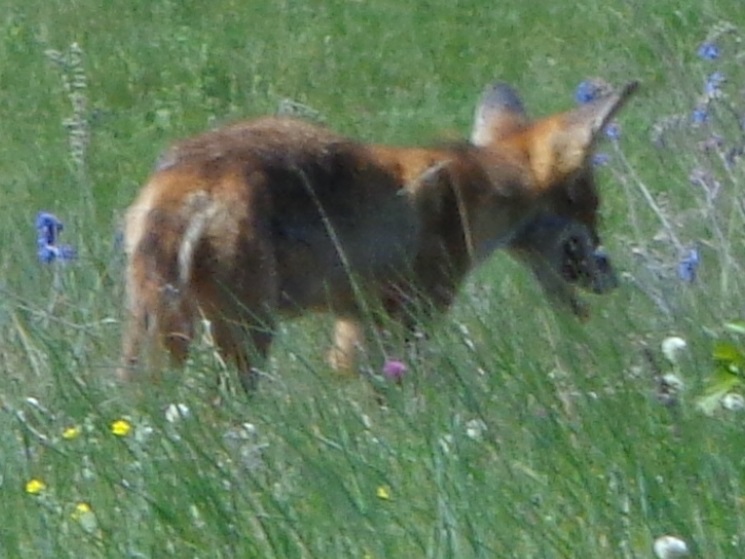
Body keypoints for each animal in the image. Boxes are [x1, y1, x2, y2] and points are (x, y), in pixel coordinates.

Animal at [119, 80, 636, 394]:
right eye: (591, 205)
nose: (612, 278)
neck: (468, 195)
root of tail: (191, 176)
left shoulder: (356, 323)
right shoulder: (412, 314)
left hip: (158, 327)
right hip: (245, 335)